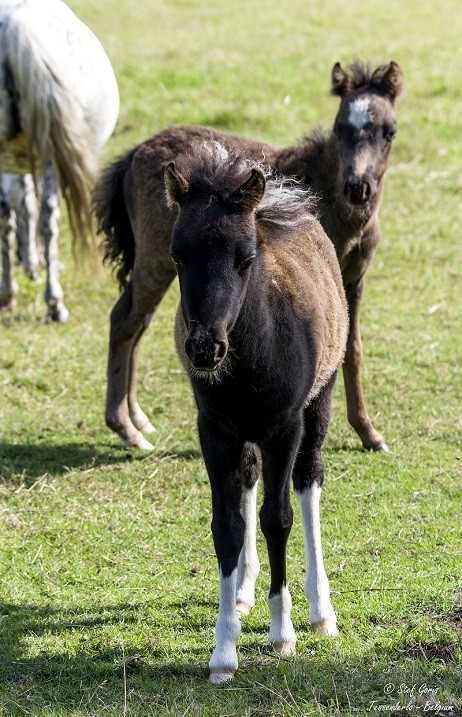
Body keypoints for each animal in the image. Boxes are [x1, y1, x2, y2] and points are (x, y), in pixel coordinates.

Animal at [0, 0, 119, 318]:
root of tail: (15, 25)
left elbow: (21, 204)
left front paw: (30, 261)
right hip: (50, 155)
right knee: (49, 217)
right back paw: (54, 302)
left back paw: (12, 292)